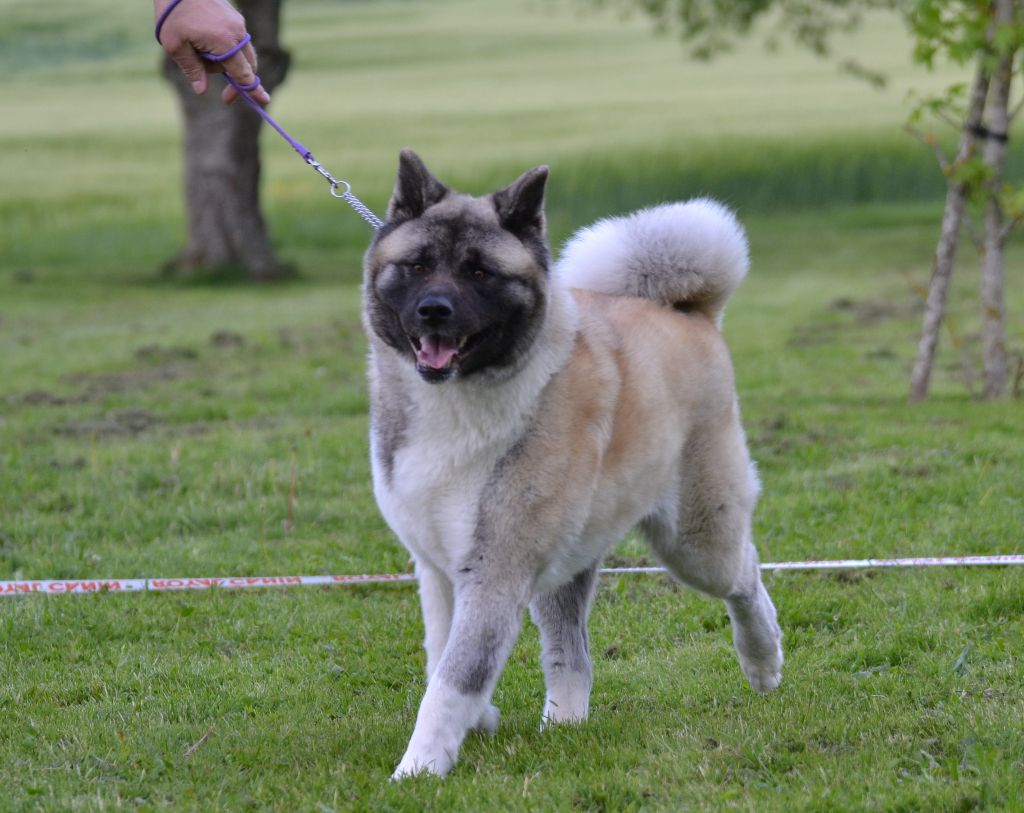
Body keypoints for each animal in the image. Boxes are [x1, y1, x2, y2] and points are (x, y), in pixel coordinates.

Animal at [362, 148, 782, 774]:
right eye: (416, 265)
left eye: (479, 273)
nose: (434, 310)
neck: (459, 397)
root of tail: (689, 312)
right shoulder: (437, 569)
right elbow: (442, 656)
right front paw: (477, 723)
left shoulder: (495, 568)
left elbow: (455, 678)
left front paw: (419, 768)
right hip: (570, 557)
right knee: (571, 651)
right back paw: (564, 723)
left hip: (695, 540)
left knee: (745, 574)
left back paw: (763, 660)